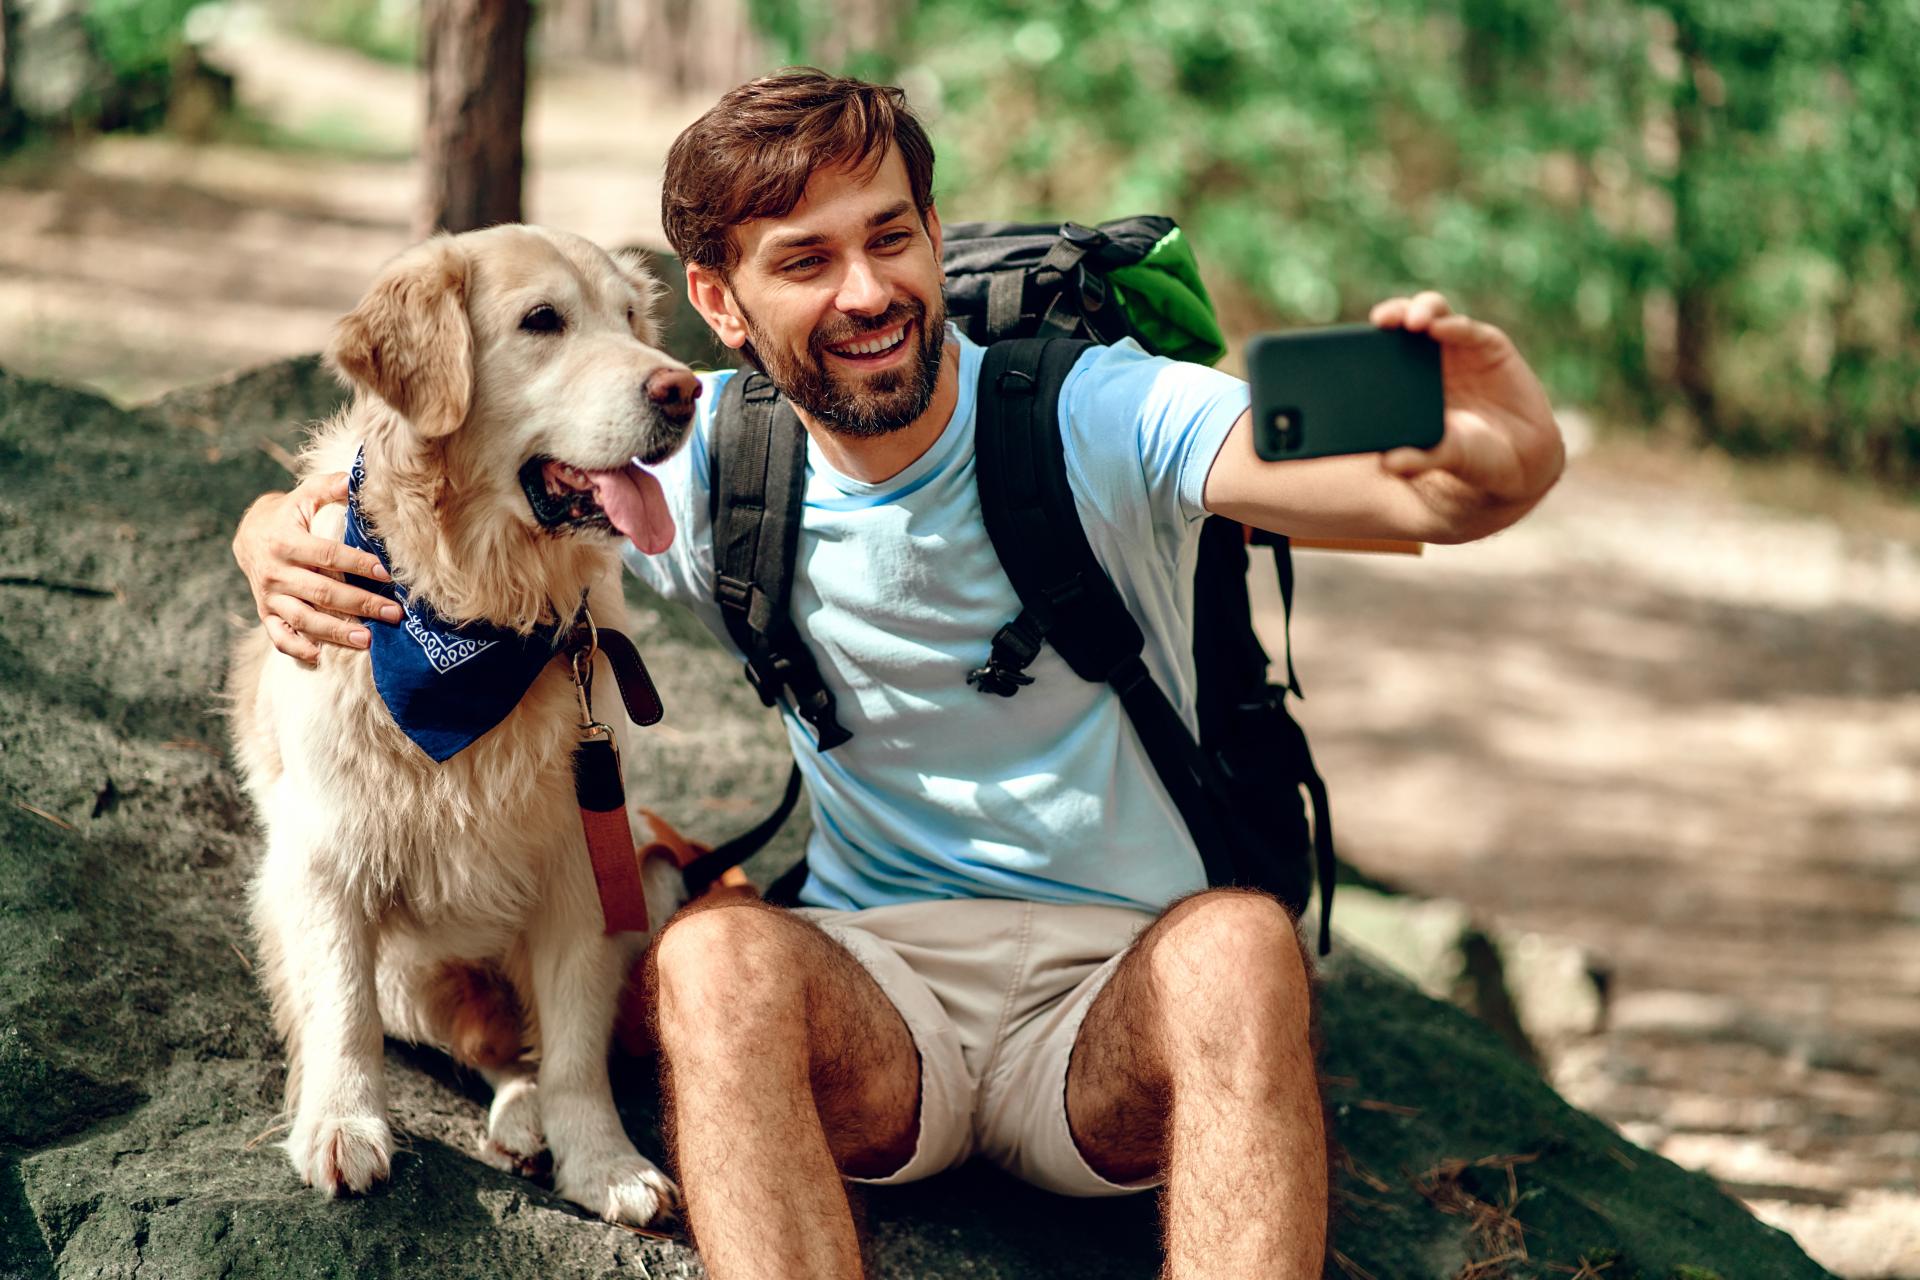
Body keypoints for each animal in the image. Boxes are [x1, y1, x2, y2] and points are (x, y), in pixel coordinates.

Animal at [230, 225, 698, 1228]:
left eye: (630, 318)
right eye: (543, 321)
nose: (682, 389)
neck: (480, 614)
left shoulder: (585, 865)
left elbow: (575, 1051)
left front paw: (602, 1162)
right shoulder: (325, 858)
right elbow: (341, 1013)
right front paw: (341, 1126)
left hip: (652, 867)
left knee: (524, 1047)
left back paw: (530, 1122)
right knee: (477, 1041)